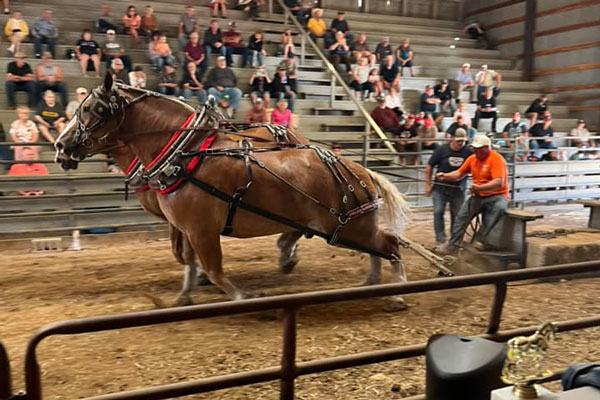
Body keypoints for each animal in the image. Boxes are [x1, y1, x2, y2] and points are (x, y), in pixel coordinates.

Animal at [56, 73, 412, 308]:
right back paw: (367, 283)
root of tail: (361, 170)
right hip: (343, 227)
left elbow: (212, 268)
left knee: (389, 245)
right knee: (376, 248)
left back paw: (395, 292)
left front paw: (242, 296)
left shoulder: (201, 229)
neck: (185, 154)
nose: (60, 145)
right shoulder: (185, 227)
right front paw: (183, 296)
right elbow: (187, 262)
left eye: (89, 110)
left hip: (352, 226)